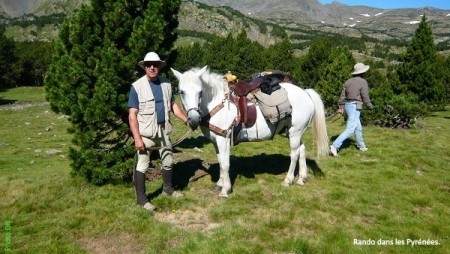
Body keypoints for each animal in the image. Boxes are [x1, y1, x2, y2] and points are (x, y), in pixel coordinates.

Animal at [171, 66, 328, 197]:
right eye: (181, 92)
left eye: (200, 92)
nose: (193, 119)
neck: (217, 103)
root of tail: (306, 92)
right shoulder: (216, 140)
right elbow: (220, 161)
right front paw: (220, 184)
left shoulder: (224, 139)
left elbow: (225, 164)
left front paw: (225, 190)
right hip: (293, 132)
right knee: (302, 149)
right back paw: (301, 178)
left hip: (295, 131)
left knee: (294, 154)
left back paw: (288, 180)